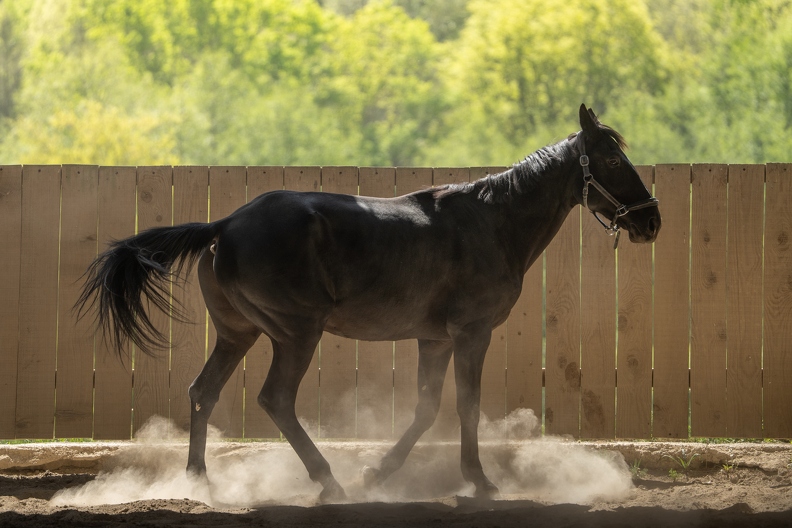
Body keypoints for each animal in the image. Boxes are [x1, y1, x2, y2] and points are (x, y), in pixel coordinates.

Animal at [77, 104, 660, 502]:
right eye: (611, 157)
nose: (651, 219)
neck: (491, 220)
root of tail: (226, 224)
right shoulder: (472, 333)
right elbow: (466, 406)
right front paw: (479, 480)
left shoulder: (434, 338)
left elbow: (426, 408)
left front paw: (380, 471)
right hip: (296, 332)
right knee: (275, 399)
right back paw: (326, 481)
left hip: (237, 333)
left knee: (203, 392)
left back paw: (199, 480)